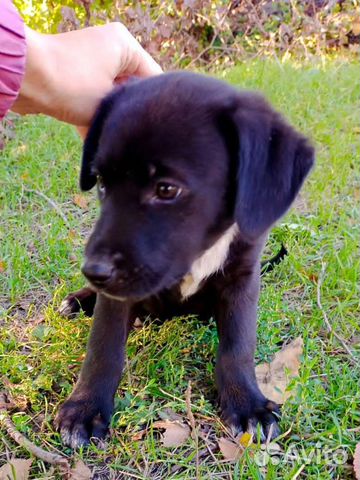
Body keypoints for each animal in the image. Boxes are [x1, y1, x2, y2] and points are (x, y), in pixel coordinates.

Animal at [55, 73, 312, 448]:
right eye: (101, 182)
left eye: (166, 189)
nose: (93, 272)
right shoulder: (118, 298)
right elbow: (104, 346)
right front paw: (85, 408)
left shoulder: (242, 279)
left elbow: (238, 344)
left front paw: (246, 403)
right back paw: (79, 300)